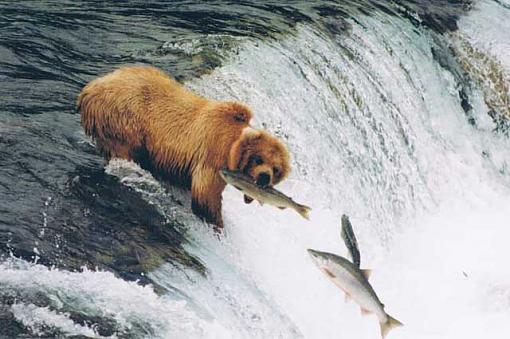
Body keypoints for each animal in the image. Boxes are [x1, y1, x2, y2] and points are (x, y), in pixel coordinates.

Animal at [76, 66, 290, 231]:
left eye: (276, 169)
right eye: (259, 159)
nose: (264, 177)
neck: (232, 148)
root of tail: (88, 89)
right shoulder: (213, 155)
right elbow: (206, 195)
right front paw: (218, 224)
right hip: (124, 120)